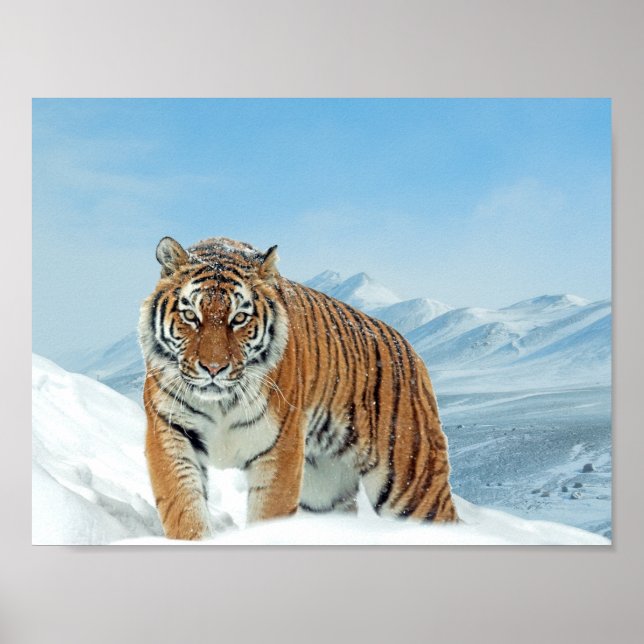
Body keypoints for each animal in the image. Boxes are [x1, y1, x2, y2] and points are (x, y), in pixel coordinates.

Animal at [139, 235, 458, 540]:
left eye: (239, 318)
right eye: (190, 316)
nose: (214, 368)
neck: (221, 403)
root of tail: (410, 348)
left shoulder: (280, 447)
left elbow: (269, 514)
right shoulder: (170, 431)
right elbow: (183, 506)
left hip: (411, 481)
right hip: (324, 491)